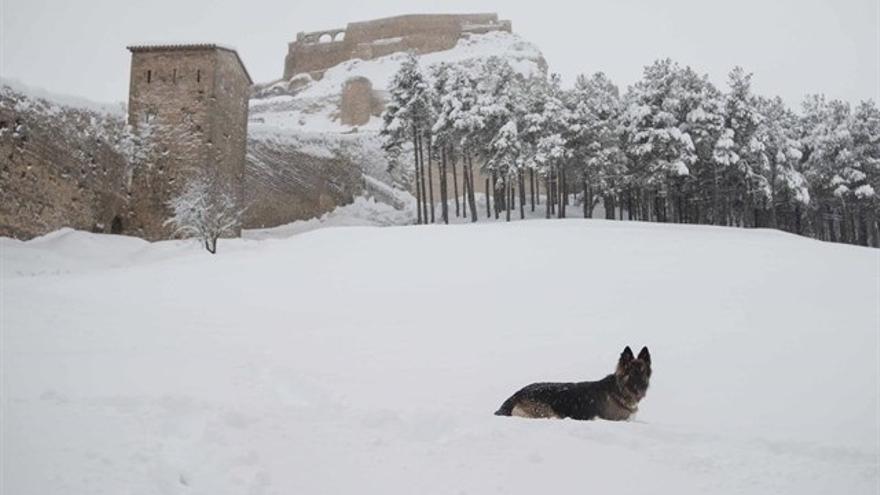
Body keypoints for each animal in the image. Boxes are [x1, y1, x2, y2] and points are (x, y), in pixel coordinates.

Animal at [498, 346, 648, 420]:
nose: (643, 388)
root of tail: (515, 395)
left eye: (644, 373)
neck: (619, 390)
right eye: (632, 373)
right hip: (549, 413)